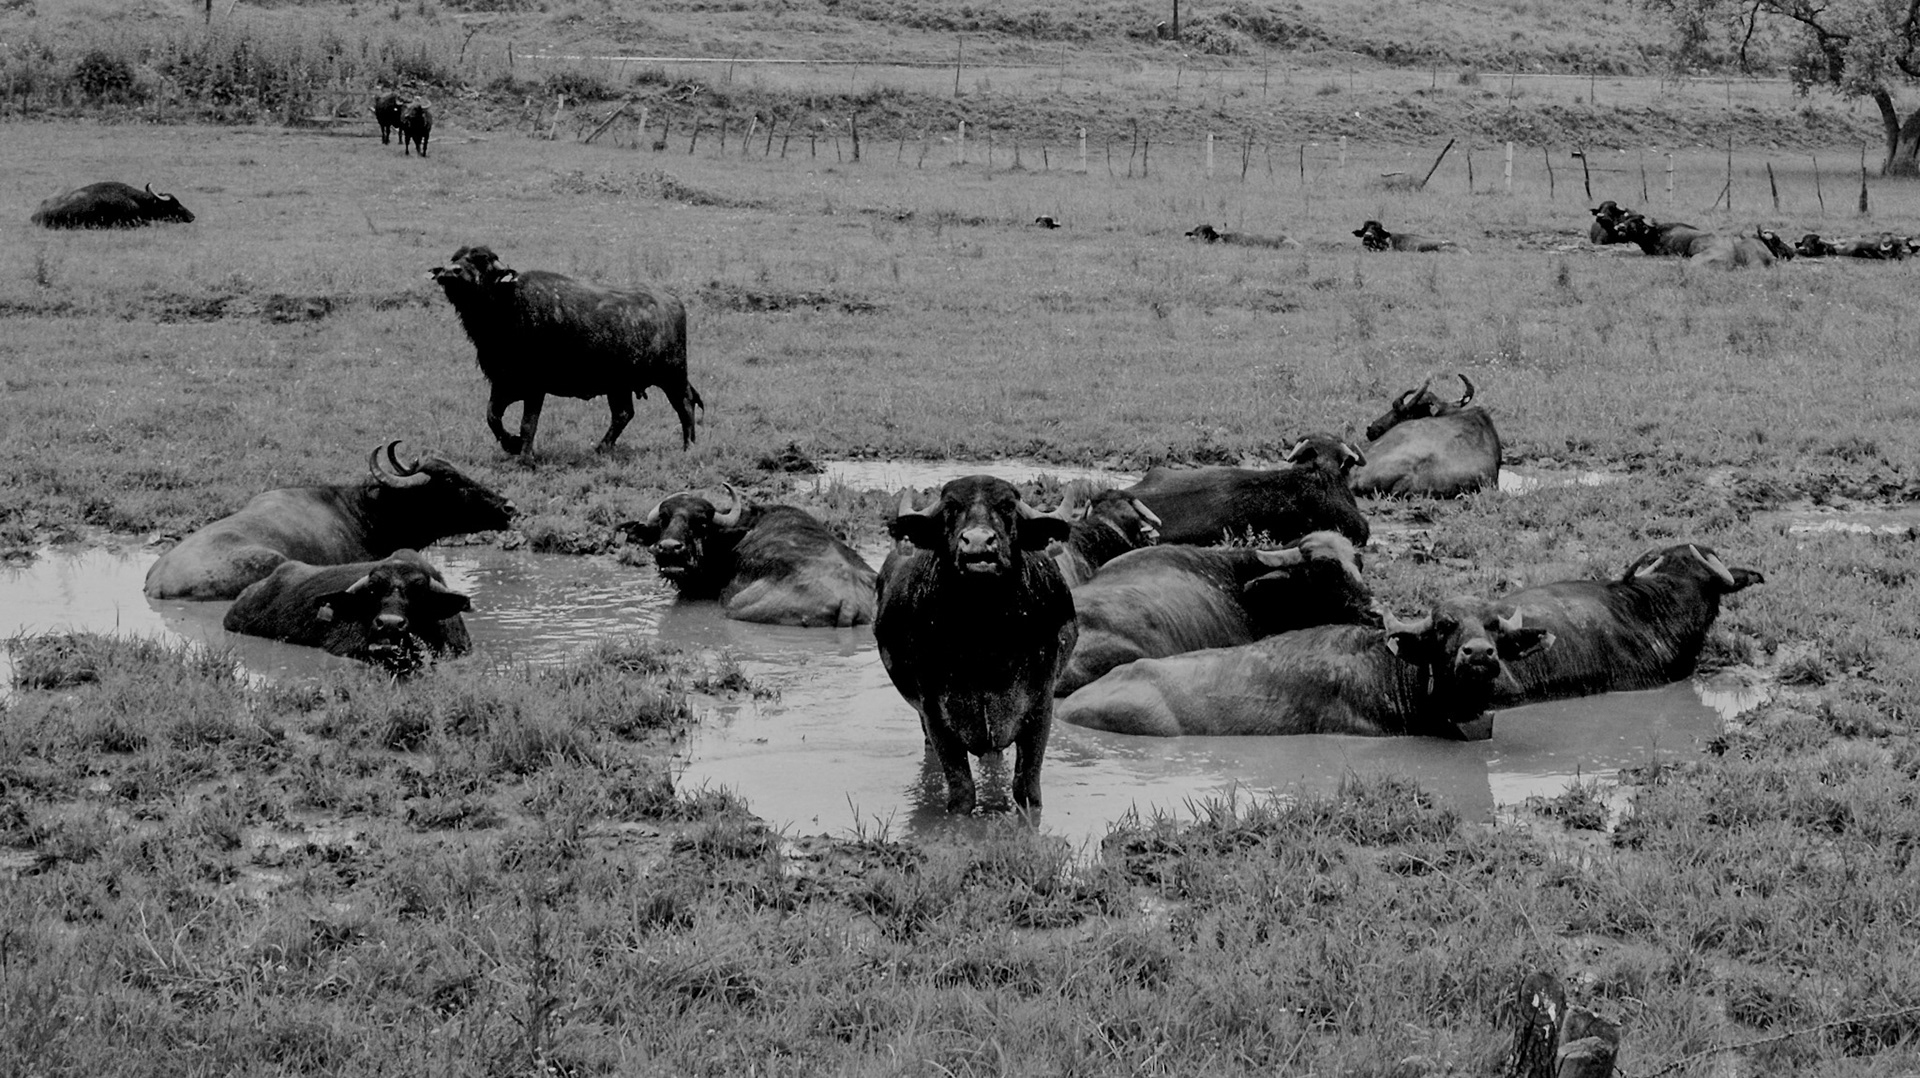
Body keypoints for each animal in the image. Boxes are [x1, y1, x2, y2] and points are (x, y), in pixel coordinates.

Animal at [431, 245, 704, 455]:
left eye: (482, 260)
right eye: (456, 258)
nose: (449, 271)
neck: (509, 305)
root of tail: (673, 301)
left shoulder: (534, 386)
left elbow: (528, 424)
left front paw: (525, 455)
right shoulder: (503, 382)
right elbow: (492, 417)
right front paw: (512, 445)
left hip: (673, 375)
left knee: (685, 405)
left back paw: (688, 446)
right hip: (619, 385)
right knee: (624, 414)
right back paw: (601, 448)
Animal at [873, 477, 1077, 814]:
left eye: (1007, 506)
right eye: (950, 508)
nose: (979, 543)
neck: (984, 642)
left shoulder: (1040, 708)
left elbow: (1027, 790)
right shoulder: (935, 714)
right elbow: (962, 793)